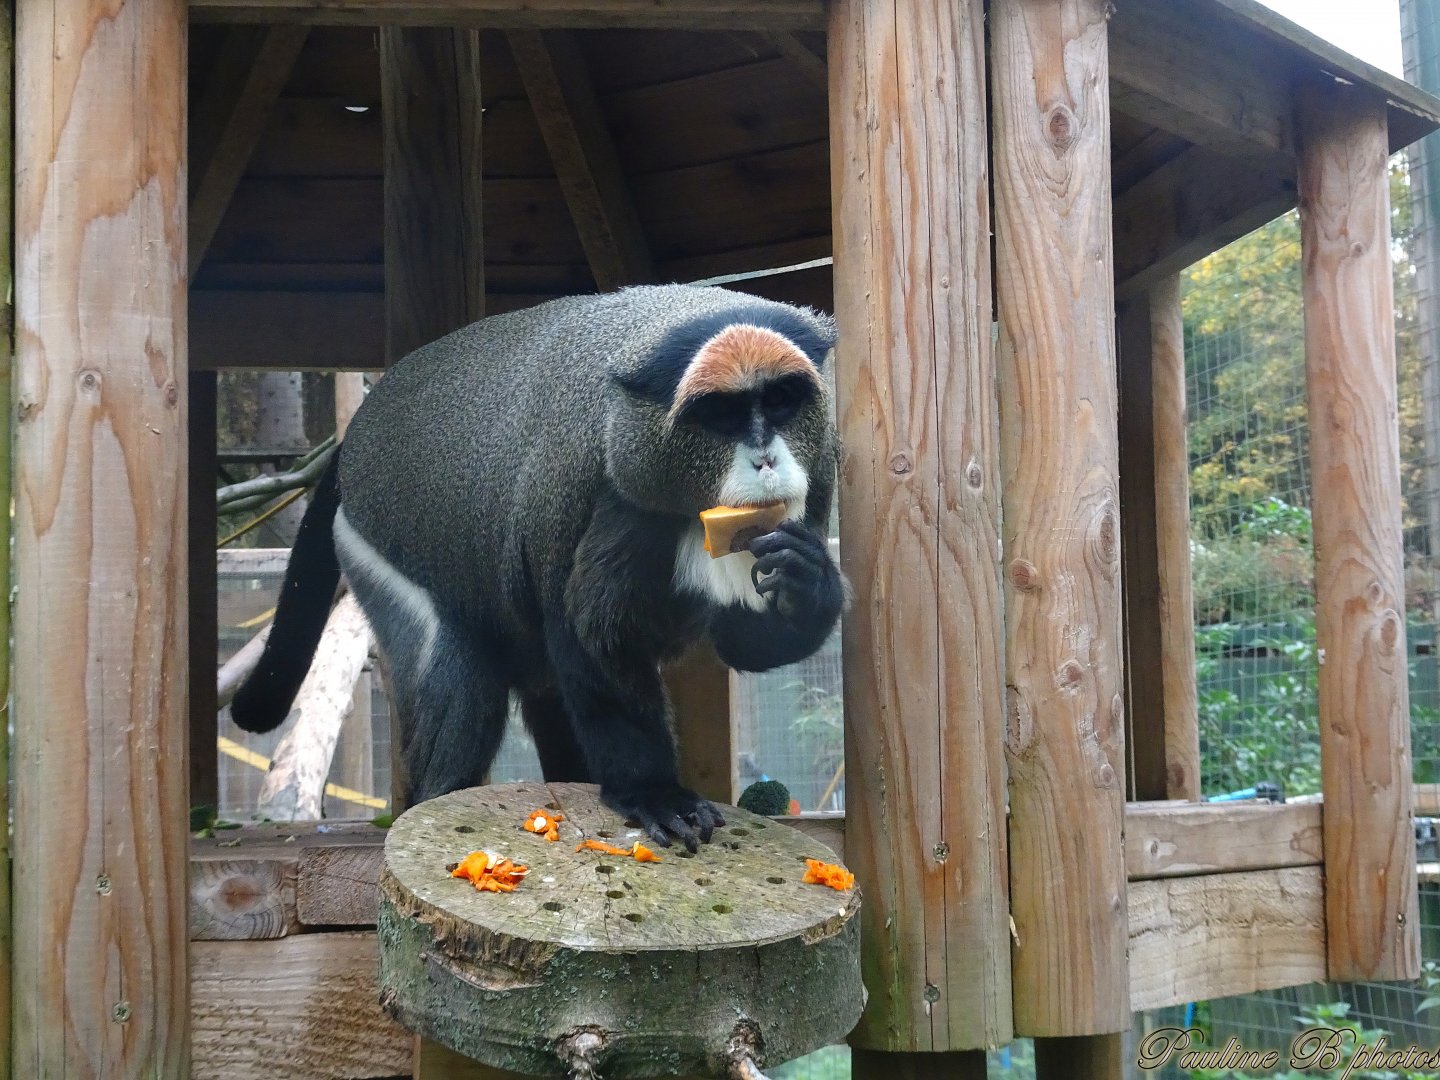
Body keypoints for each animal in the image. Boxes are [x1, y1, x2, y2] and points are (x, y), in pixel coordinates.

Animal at [230, 284, 846, 851]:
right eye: (722, 415)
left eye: (781, 399)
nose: (765, 459)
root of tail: (357, 433)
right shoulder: (592, 492)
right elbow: (591, 635)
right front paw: (654, 795)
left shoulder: (818, 479)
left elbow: (744, 644)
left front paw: (805, 583)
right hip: (378, 549)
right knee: (461, 684)